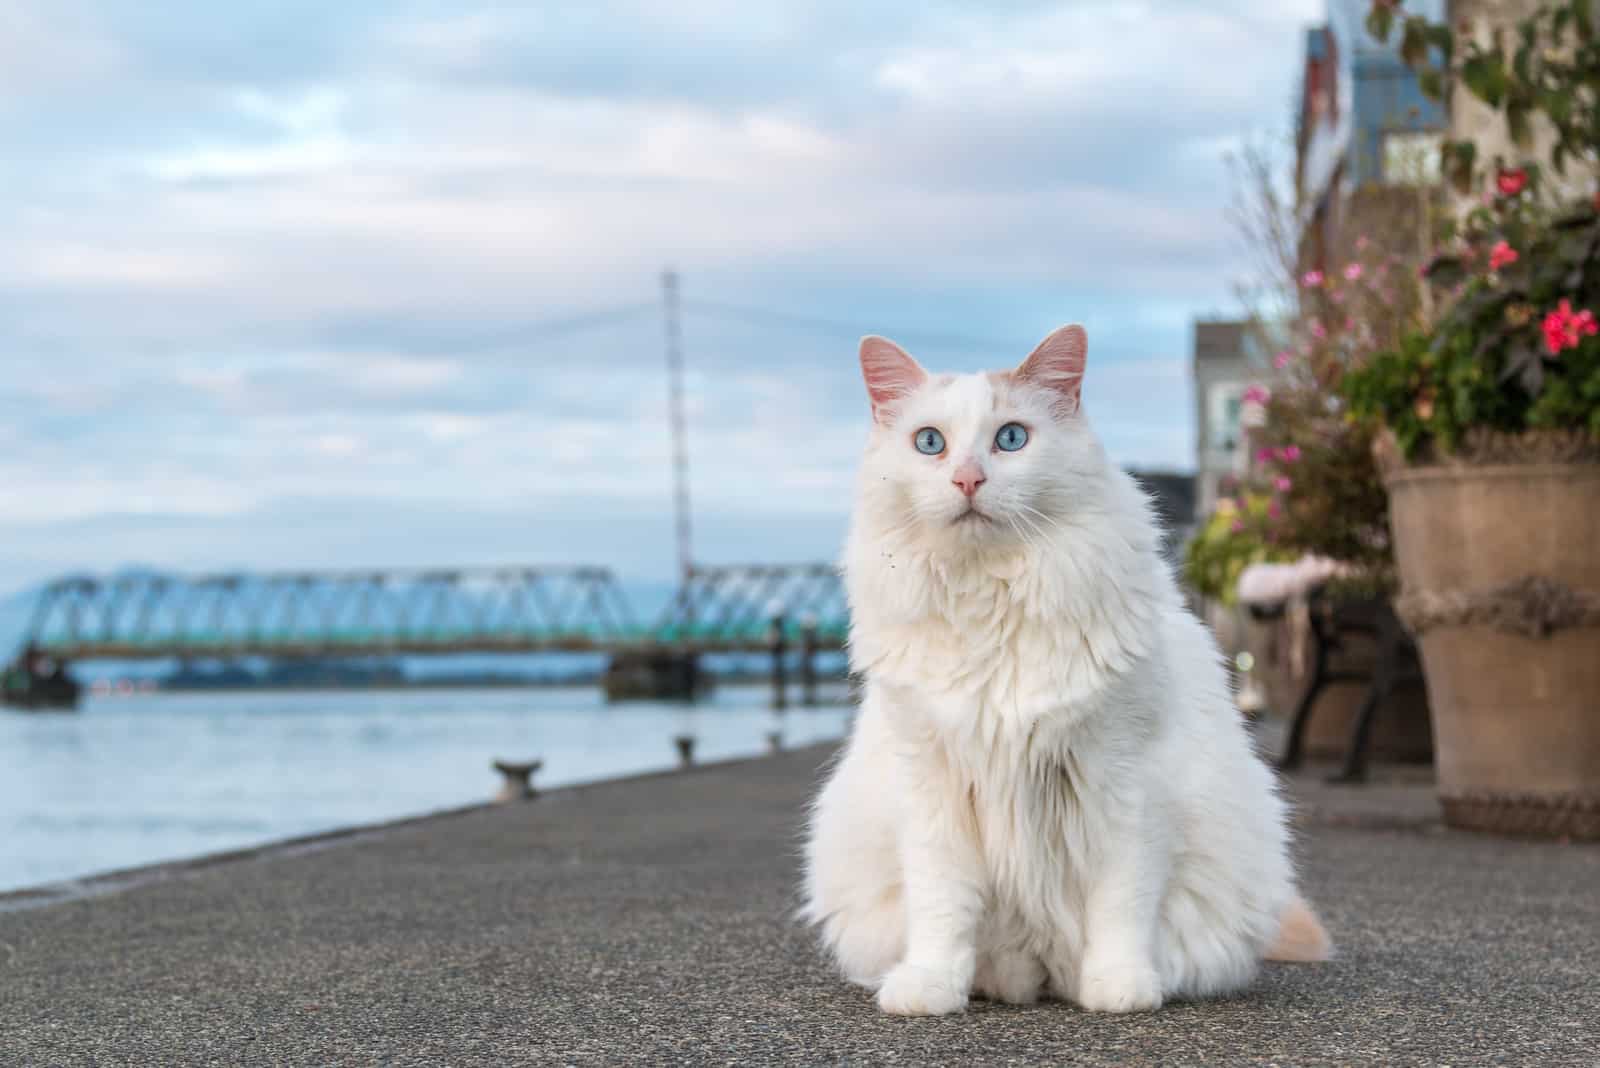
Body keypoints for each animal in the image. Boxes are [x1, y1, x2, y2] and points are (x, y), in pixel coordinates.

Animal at [796, 326, 1324, 1016]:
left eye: (1010, 438)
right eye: (930, 443)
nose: (968, 479)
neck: (990, 598)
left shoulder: (1124, 783)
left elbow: (1120, 905)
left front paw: (1121, 987)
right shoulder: (933, 789)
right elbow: (941, 908)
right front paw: (930, 988)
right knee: (1006, 960)